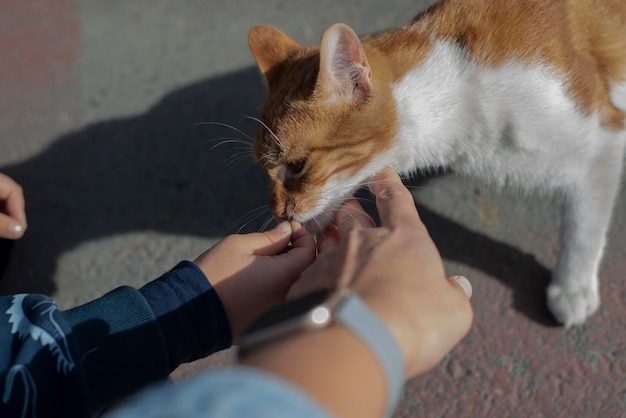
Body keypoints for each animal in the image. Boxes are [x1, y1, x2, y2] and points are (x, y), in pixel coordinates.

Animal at [246, 0, 620, 326]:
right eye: (262, 169)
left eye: (297, 165)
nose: (277, 211)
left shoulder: (604, 142)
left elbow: (583, 227)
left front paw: (573, 288)